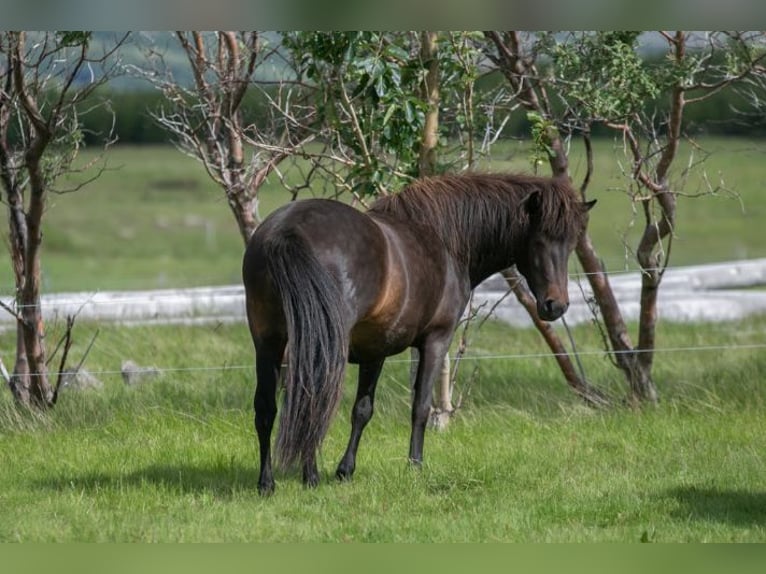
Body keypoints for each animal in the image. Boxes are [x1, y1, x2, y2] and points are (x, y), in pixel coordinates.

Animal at [242, 173, 594, 495]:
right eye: (539, 241)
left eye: (571, 245)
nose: (555, 306)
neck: (444, 239)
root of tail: (287, 231)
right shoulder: (436, 340)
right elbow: (422, 406)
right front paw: (415, 466)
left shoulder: (374, 351)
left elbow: (362, 410)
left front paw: (345, 470)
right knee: (315, 400)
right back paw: (310, 477)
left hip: (267, 342)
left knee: (268, 408)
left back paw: (267, 483)